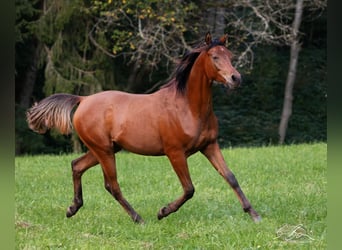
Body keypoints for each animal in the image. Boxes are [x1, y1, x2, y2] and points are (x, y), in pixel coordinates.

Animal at [26, 32, 260, 223]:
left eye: (230, 55)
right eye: (214, 57)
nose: (236, 78)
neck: (188, 107)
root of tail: (83, 100)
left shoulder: (209, 145)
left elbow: (231, 177)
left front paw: (254, 214)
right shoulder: (175, 153)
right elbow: (189, 189)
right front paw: (163, 212)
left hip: (105, 149)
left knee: (77, 165)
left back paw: (72, 208)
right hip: (104, 150)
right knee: (112, 185)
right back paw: (138, 218)